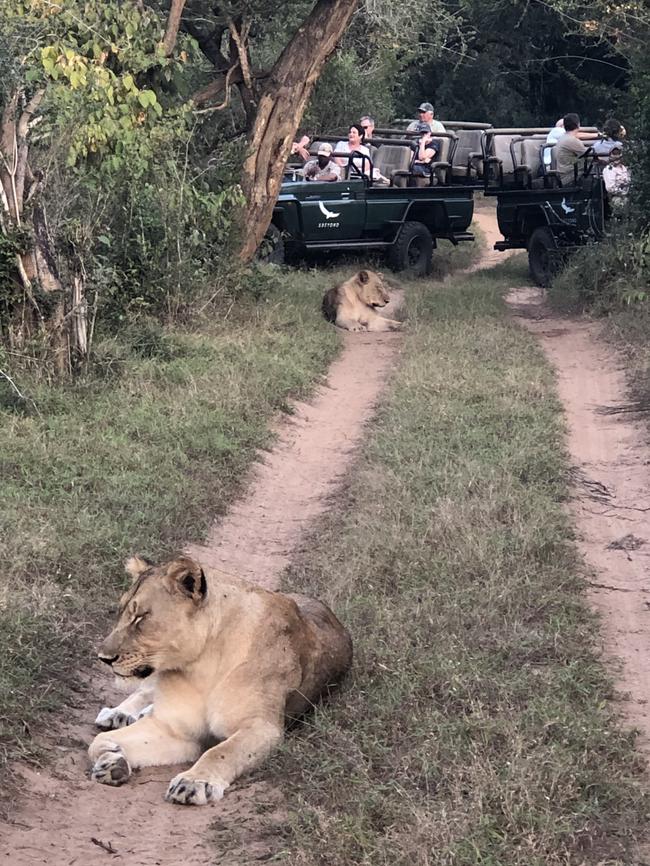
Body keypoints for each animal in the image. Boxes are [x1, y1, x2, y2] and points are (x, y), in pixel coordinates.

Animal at [89, 552, 352, 804]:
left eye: (141, 617)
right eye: (120, 612)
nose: (103, 658)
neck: (201, 667)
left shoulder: (262, 727)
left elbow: (221, 752)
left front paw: (194, 782)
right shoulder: (173, 728)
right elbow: (97, 743)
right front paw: (115, 759)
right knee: (143, 692)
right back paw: (117, 714)